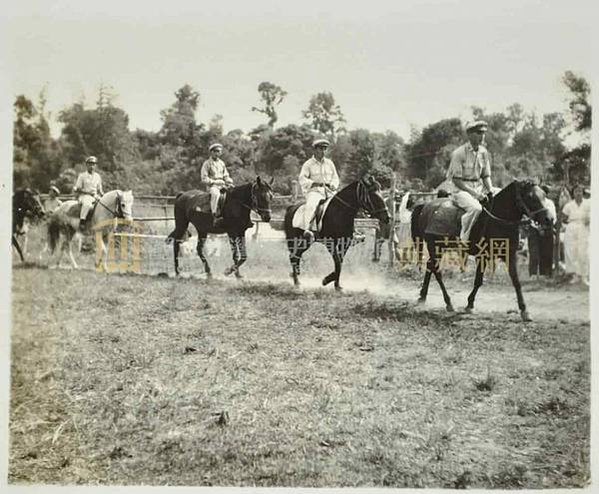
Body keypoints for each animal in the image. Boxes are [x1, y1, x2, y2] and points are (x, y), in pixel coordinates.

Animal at [412, 179, 552, 322]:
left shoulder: (510, 255)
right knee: (436, 270)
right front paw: (469, 305)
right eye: (530, 197)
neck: (498, 219)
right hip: (435, 246)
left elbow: (516, 281)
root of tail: (426, 206)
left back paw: (422, 297)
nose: (549, 219)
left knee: (430, 266)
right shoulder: (483, 256)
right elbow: (478, 280)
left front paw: (525, 310)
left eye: (544, 195)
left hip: (439, 248)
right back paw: (448, 302)